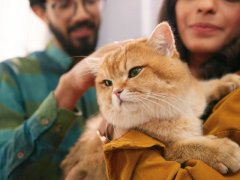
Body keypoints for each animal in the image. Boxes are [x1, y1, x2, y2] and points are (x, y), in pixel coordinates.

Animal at [60, 21, 240, 179]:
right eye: (107, 83)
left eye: (135, 72)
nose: (116, 92)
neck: (175, 108)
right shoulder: (165, 150)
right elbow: (188, 146)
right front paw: (221, 151)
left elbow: (204, 87)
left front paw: (227, 81)